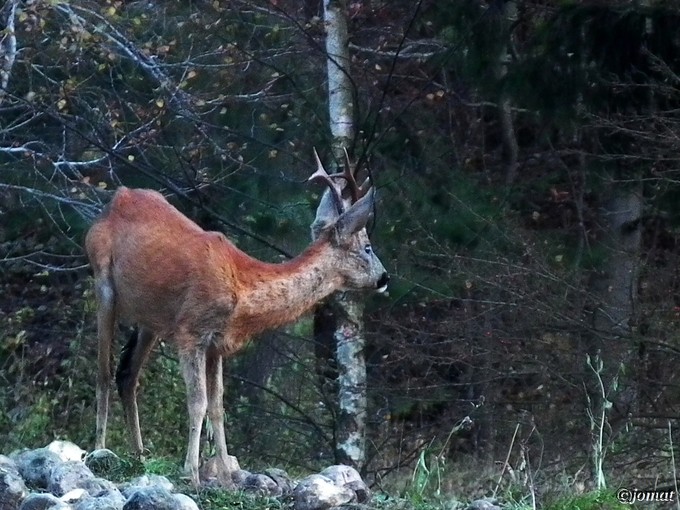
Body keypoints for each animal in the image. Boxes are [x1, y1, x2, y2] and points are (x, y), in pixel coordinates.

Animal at [85, 151, 388, 486]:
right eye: (367, 247)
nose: (385, 278)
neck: (241, 289)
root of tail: (117, 197)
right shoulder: (190, 331)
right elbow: (198, 402)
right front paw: (192, 474)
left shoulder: (217, 343)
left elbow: (218, 406)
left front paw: (227, 479)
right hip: (103, 280)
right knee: (103, 372)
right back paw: (99, 450)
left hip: (150, 318)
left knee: (127, 375)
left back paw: (139, 456)